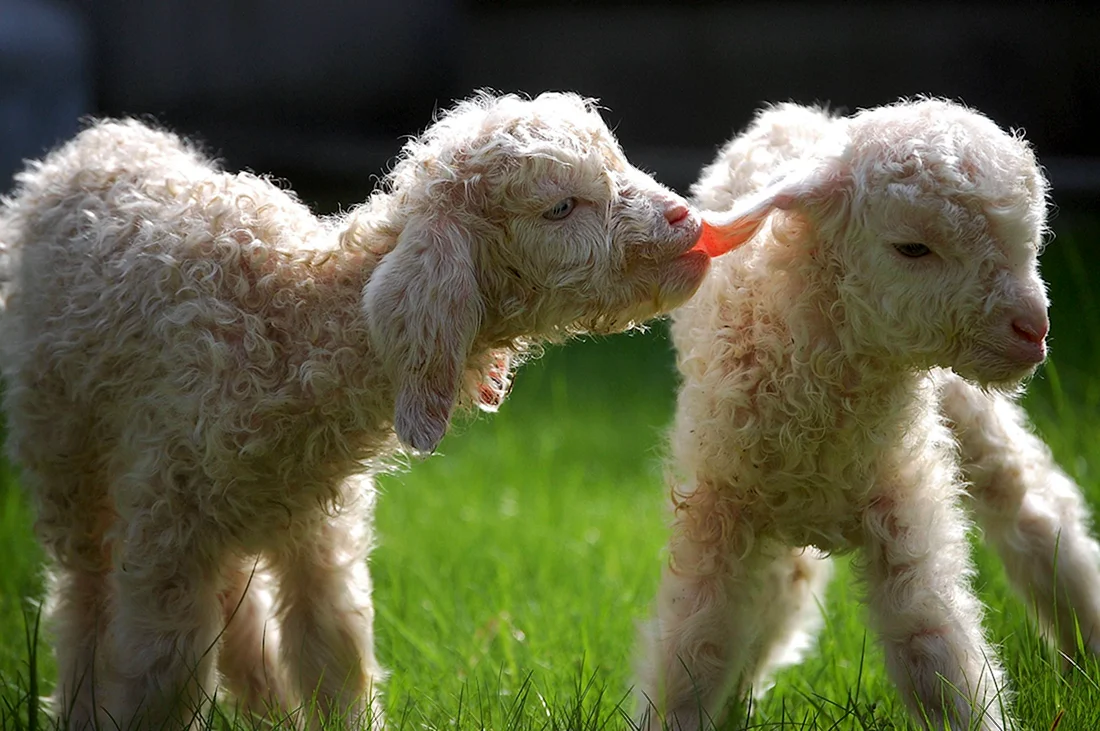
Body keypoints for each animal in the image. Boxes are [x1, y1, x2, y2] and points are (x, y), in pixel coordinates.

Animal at [0, 91, 714, 730]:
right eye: (560, 207)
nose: (686, 220)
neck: (287, 326)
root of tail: (92, 143)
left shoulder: (317, 530)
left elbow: (333, 655)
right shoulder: (165, 532)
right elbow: (163, 676)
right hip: (65, 454)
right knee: (84, 593)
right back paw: (79, 706)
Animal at [634, 99, 1100, 731]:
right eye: (912, 248)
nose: (1034, 329)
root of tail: (810, 116)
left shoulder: (903, 502)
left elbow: (931, 643)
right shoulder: (719, 508)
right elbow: (696, 646)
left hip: (969, 409)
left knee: (1036, 514)